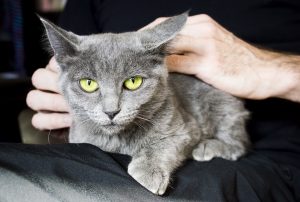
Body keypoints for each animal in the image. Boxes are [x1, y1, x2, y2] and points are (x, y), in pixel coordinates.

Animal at [40, 13, 251, 196]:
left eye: (133, 82)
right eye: (88, 84)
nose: (111, 111)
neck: (119, 140)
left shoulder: (185, 129)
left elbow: (164, 144)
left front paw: (150, 171)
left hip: (222, 104)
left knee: (239, 144)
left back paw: (207, 147)